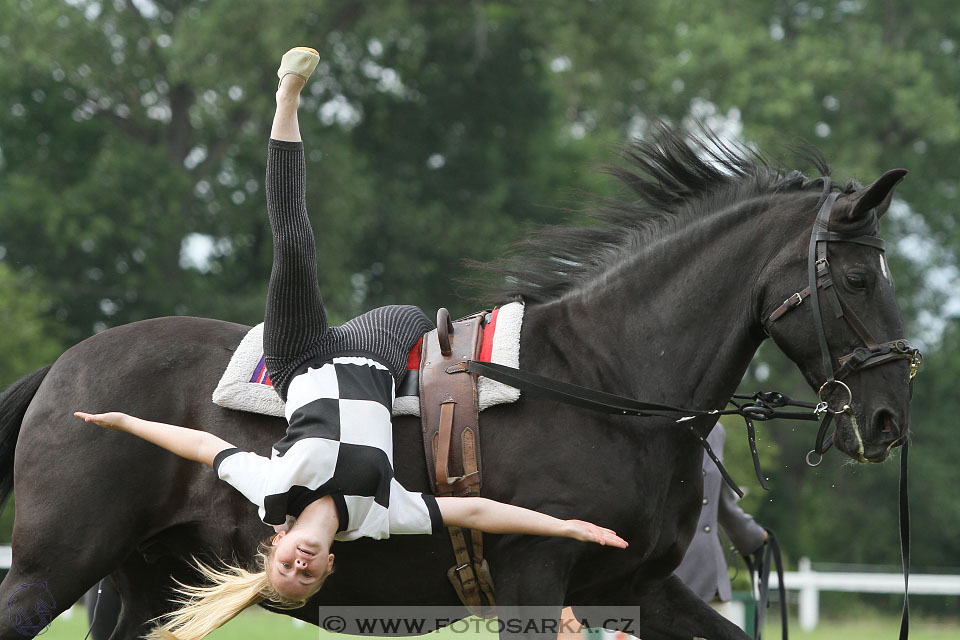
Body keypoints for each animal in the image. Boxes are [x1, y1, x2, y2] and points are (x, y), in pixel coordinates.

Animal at [0, 127, 916, 636]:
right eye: (857, 278)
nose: (888, 419)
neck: (605, 382)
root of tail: (64, 370)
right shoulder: (537, 579)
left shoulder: (636, 589)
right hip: (56, 565)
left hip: (145, 581)